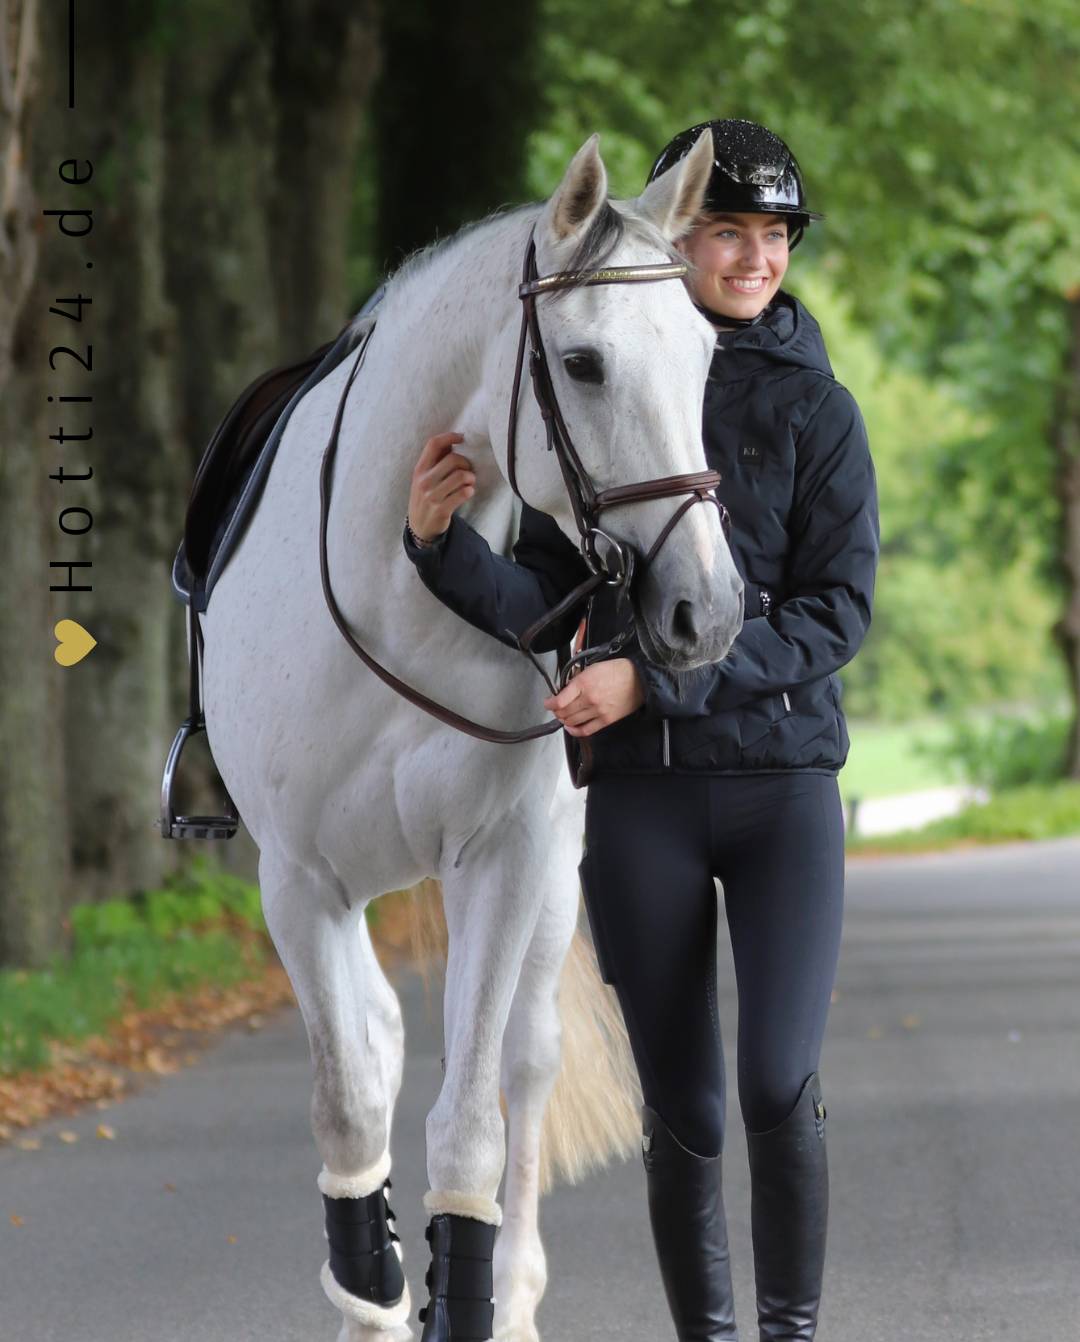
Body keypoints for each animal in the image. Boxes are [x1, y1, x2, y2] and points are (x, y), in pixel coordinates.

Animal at [197, 130, 743, 1341]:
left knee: (526, 1061)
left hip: (547, 882)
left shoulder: (502, 859)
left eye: (703, 358)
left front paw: (469, 1294)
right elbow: (351, 1102)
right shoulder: (298, 882)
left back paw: (519, 1295)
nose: (710, 611)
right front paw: (372, 1294)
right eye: (583, 364)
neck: (391, 589)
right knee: (381, 1043)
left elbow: (471, 1126)